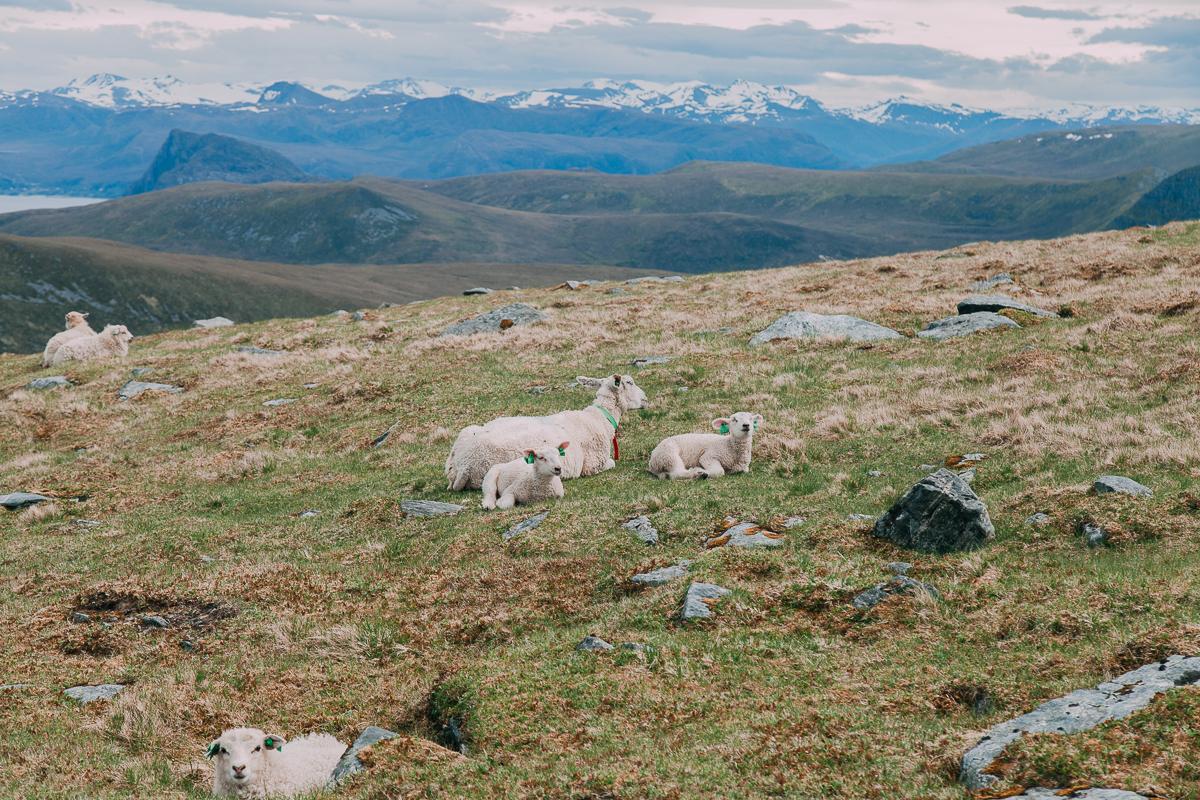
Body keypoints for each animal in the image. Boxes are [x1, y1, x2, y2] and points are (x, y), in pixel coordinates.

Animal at [444, 376, 648, 494]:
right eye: (629, 382)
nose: (646, 399)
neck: (599, 418)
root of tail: (462, 466)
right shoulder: (592, 465)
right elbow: (612, 463)